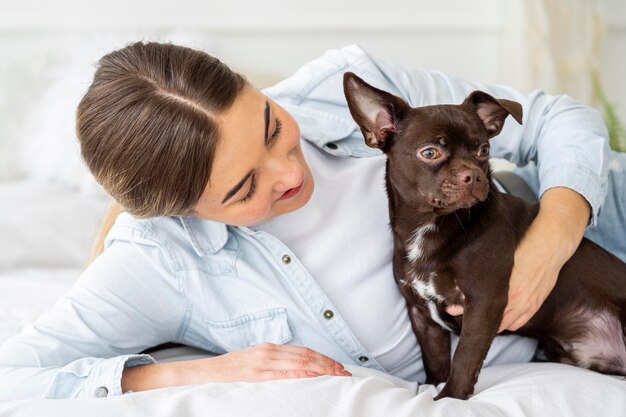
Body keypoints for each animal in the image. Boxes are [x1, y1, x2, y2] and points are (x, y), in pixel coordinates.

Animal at [342, 71, 624, 400]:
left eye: (483, 151)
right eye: (430, 153)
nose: (474, 176)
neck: (429, 226)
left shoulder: (483, 304)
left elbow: (464, 358)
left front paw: (450, 398)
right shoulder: (423, 316)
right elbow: (435, 359)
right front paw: (433, 387)